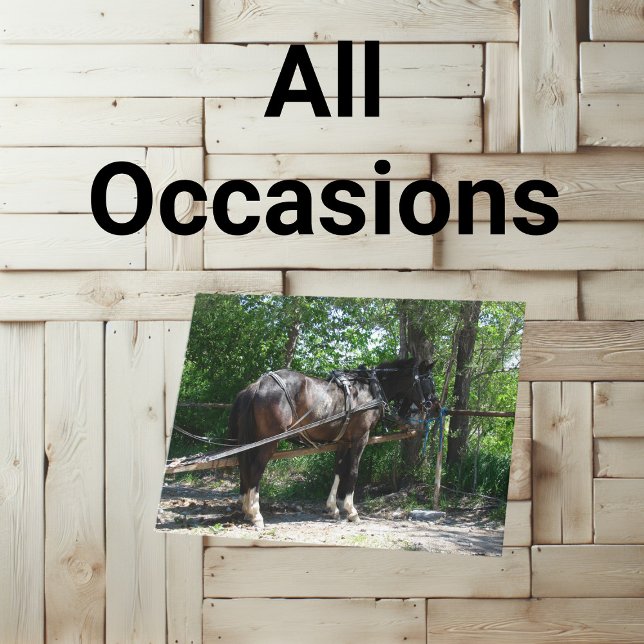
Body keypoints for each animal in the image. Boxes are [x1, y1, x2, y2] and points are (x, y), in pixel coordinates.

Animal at [227, 357, 440, 528]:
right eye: (429, 380)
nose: (436, 406)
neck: (370, 389)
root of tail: (259, 384)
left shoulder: (343, 441)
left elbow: (338, 471)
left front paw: (333, 508)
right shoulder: (360, 438)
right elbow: (353, 471)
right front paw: (351, 511)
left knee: (244, 467)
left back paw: (247, 510)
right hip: (268, 441)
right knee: (255, 469)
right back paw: (255, 514)